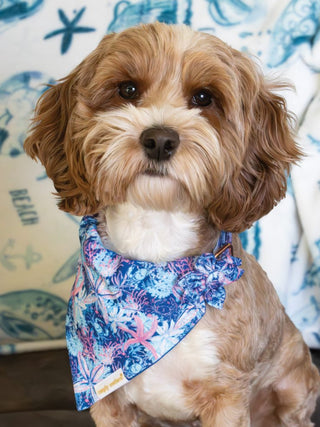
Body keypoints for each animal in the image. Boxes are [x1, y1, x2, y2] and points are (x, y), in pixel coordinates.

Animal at [25, 22, 320, 427]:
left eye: (204, 97)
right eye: (127, 90)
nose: (160, 139)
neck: (155, 251)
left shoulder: (227, 395)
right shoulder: (109, 403)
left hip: (294, 383)